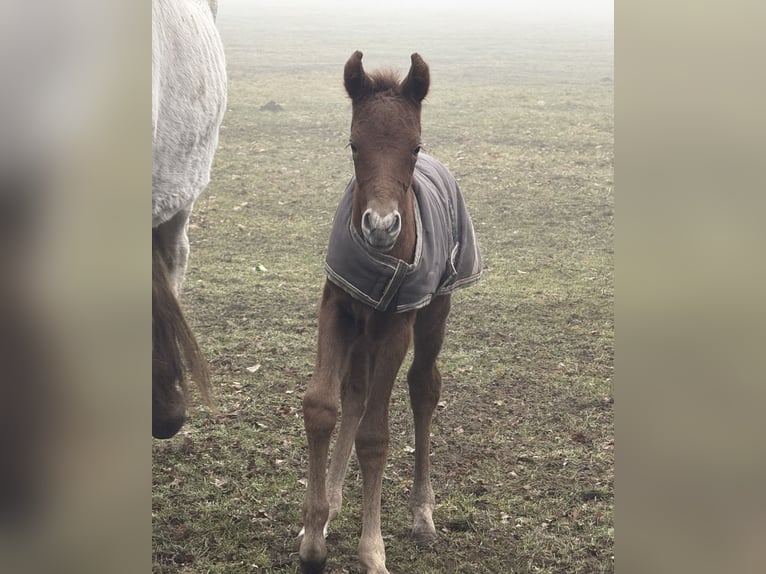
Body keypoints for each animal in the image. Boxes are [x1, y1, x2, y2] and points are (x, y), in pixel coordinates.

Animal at [299, 51, 483, 574]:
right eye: (353, 144)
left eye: (414, 147)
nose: (380, 227)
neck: (379, 260)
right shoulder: (337, 305)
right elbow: (322, 406)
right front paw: (313, 537)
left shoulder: (397, 324)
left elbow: (376, 437)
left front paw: (371, 550)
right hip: (364, 327)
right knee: (356, 394)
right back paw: (333, 504)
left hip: (434, 310)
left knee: (424, 387)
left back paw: (423, 514)